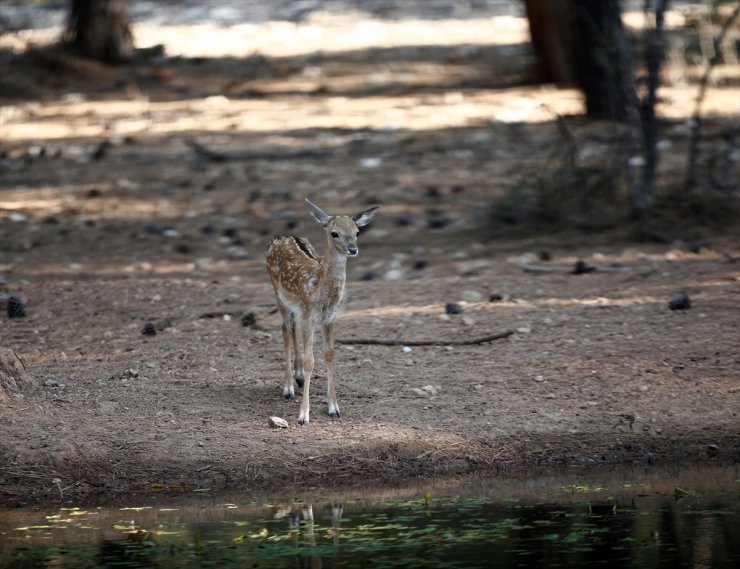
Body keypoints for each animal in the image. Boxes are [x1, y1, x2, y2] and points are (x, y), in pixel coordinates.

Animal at [264, 197, 378, 424]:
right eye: (334, 233)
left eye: (357, 231)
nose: (352, 249)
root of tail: (282, 238)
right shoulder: (309, 315)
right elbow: (311, 361)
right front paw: (303, 416)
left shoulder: (329, 317)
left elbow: (330, 354)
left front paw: (334, 407)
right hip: (278, 296)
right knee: (285, 331)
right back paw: (288, 388)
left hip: (296, 308)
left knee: (292, 328)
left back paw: (298, 378)